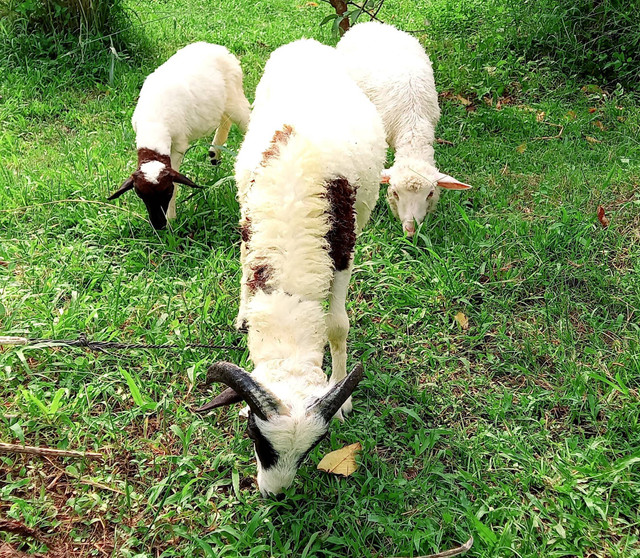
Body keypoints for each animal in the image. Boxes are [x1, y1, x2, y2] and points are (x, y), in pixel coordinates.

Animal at [107, 41, 250, 230]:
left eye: (167, 192)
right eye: (140, 194)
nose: (158, 225)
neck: (155, 124)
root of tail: (219, 48)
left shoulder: (180, 145)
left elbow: (176, 182)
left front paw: (172, 220)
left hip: (235, 97)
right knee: (224, 119)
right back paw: (214, 155)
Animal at [196, 38, 384, 498]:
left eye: (313, 448)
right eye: (255, 435)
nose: (274, 496)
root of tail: (306, 43)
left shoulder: (343, 254)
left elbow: (337, 326)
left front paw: (342, 396)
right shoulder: (250, 232)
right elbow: (246, 279)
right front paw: (243, 318)